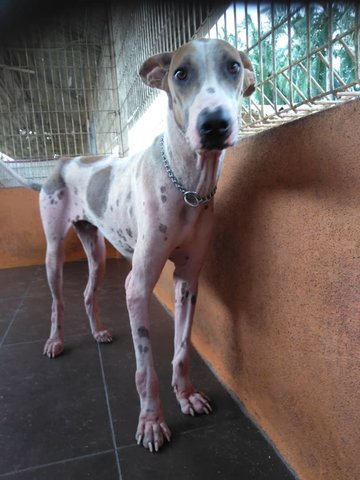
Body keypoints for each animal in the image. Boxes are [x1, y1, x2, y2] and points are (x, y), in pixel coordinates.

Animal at [0, 38, 255, 454]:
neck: (187, 183)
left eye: (233, 67)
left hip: (97, 251)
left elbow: (182, 349)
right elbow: (145, 367)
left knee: (87, 292)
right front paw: (151, 422)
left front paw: (187, 395)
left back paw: (99, 331)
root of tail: (61, 162)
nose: (214, 123)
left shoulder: (188, 280)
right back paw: (55, 341)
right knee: (58, 301)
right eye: (180, 73)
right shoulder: (137, 286)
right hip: (54, 252)